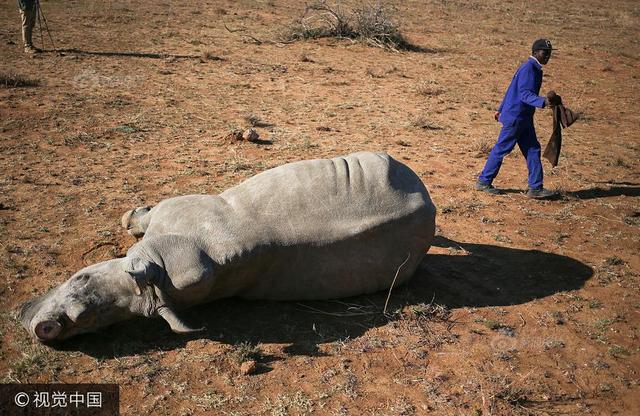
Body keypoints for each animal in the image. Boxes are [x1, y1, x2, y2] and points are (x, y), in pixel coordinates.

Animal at [21, 153, 440, 342]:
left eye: (81, 277)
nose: (44, 328)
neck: (155, 271)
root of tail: (431, 203)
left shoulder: (178, 213)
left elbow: (143, 218)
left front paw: (130, 217)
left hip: (392, 171)